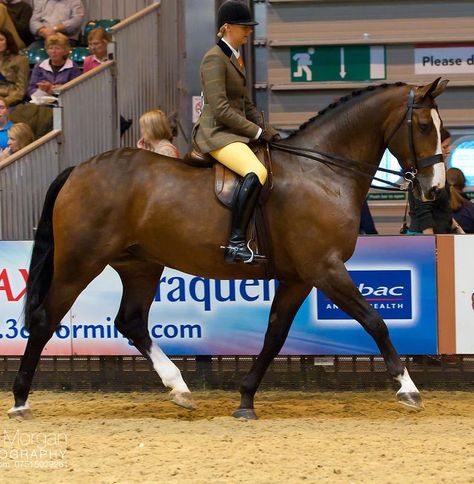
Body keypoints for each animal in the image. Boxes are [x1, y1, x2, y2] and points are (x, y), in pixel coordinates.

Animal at [10, 77, 448, 418]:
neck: (321, 171)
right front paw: (408, 388)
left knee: (131, 322)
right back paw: (19, 400)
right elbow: (374, 321)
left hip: (140, 265)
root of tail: (77, 169)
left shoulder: (299, 277)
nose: (435, 189)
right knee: (47, 319)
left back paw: (179, 388)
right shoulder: (325, 268)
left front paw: (246, 399)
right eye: (424, 125)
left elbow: (275, 335)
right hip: (80, 262)